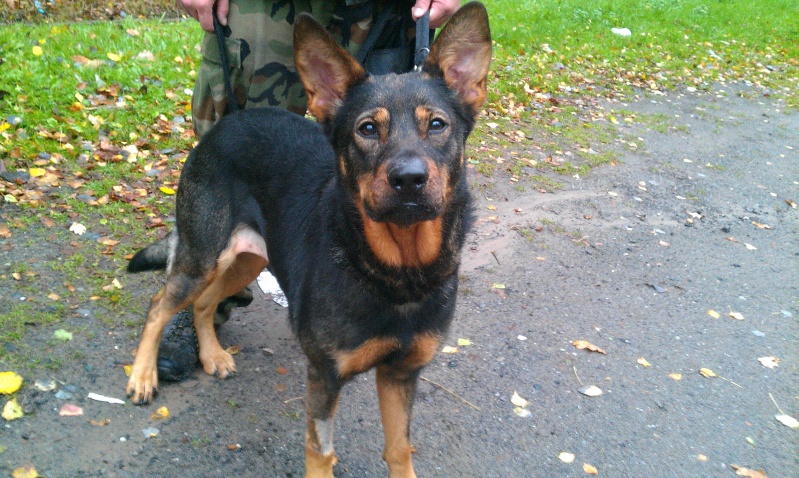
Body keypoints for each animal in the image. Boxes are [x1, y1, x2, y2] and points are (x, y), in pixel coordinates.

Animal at [126, 2, 488, 474]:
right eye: (367, 129)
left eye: (439, 125)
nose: (409, 179)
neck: (399, 269)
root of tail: (232, 119)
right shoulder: (325, 374)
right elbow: (320, 450)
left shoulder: (401, 373)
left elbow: (399, 448)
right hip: (203, 253)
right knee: (160, 304)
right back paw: (142, 376)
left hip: (250, 258)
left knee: (204, 303)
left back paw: (213, 356)